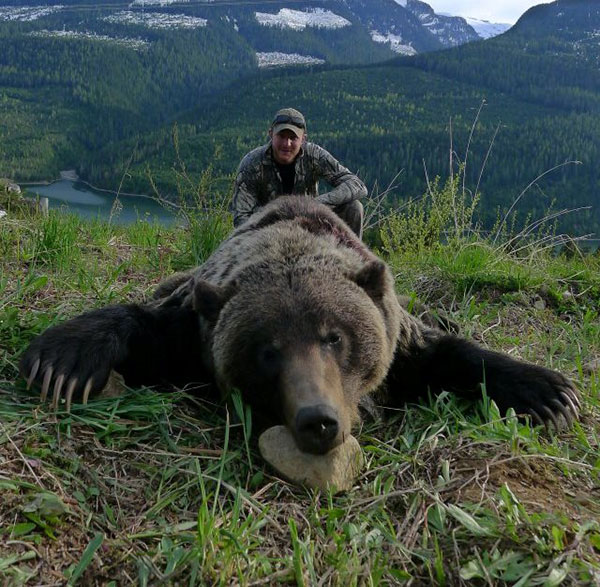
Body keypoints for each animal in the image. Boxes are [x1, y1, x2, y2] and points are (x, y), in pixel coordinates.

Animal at [21, 196, 580, 454]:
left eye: (335, 337)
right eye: (267, 350)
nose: (319, 419)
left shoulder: (397, 331)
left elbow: (444, 351)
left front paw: (551, 393)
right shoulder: (194, 324)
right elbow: (145, 325)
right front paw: (61, 360)